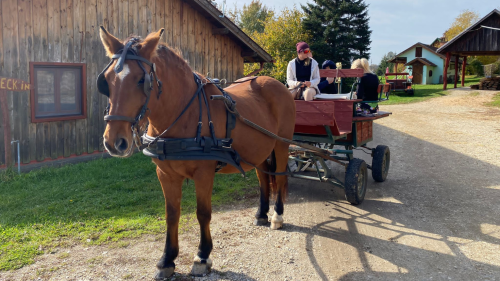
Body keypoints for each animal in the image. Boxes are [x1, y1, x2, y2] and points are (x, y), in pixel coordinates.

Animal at [99, 26, 294, 278]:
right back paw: (261, 214)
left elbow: (203, 213)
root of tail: (275, 83)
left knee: (279, 179)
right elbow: (172, 214)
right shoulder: (166, 175)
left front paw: (202, 256)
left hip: (281, 145)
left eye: (142, 80)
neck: (184, 114)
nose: (114, 141)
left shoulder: (204, 173)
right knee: (263, 178)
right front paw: (167, 260)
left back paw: (277, 216)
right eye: (107, 80)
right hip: (259, 150)